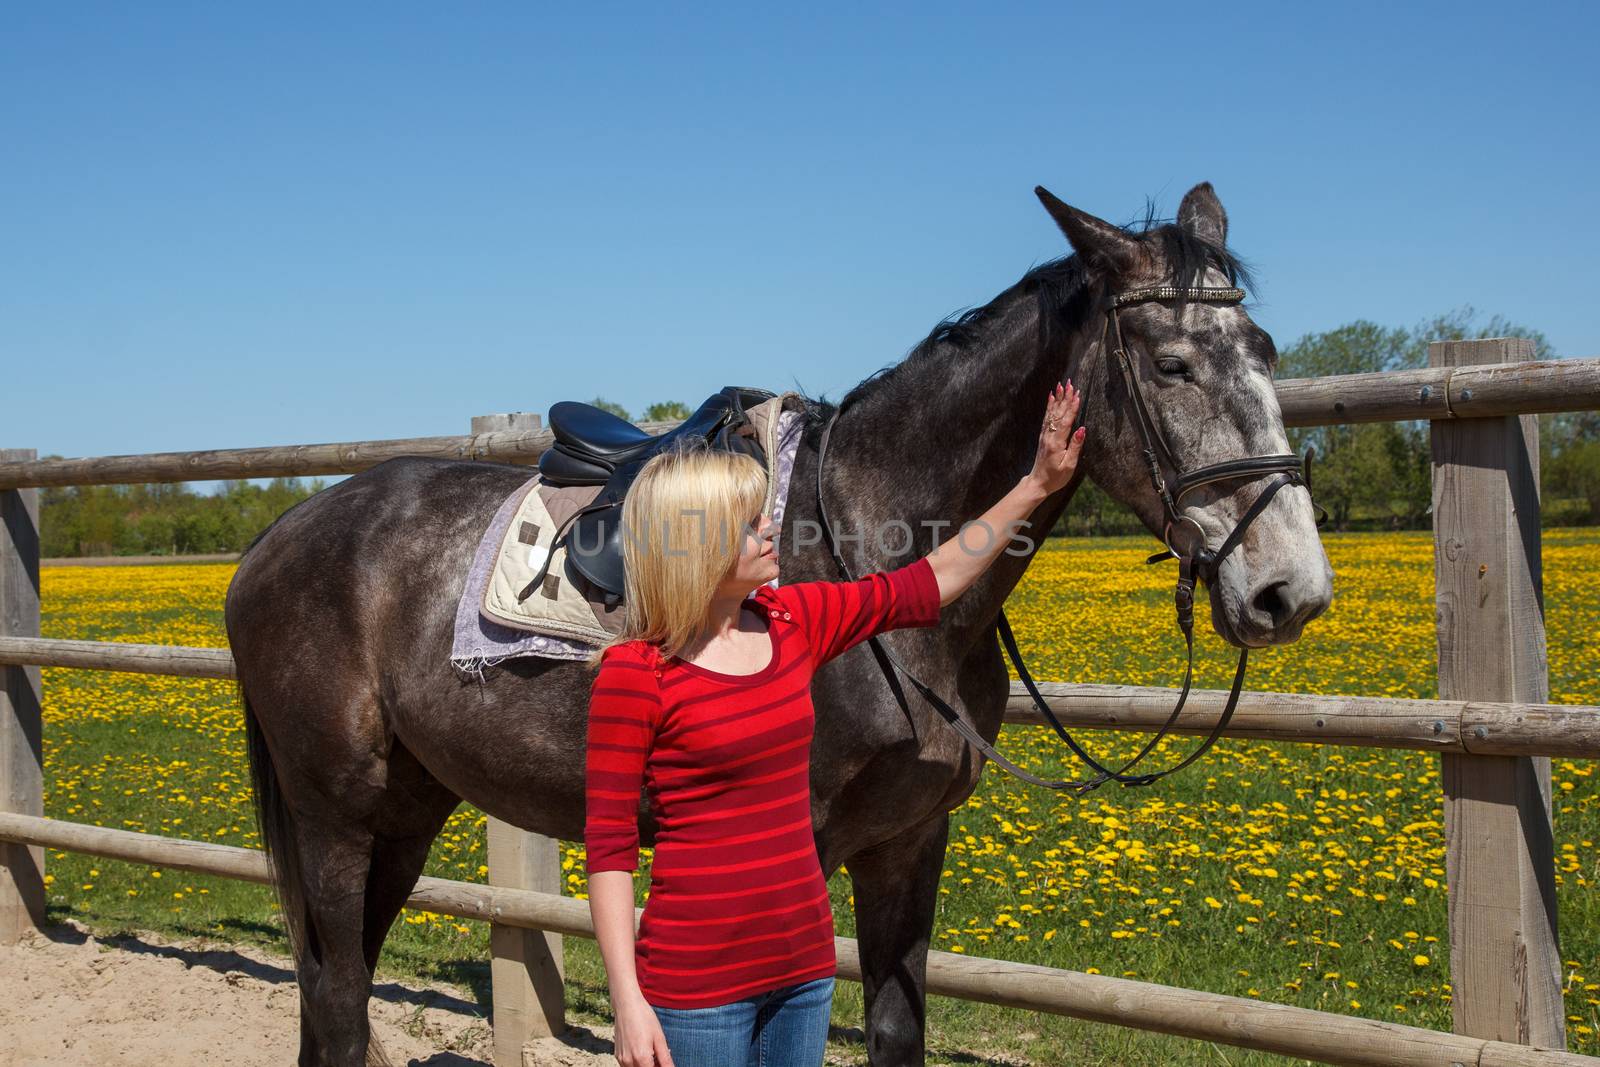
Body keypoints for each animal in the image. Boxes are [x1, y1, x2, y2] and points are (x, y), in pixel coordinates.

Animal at [222, 183, 1324, 1067]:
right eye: (1172, 362)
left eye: (1267, 351)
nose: (1290, 590)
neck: (874, 543)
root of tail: (277, 537)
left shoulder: (908, 842)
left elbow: (896, 1029)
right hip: (334, 814)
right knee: (339, 994)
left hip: (406, 810)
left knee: (330, 996)